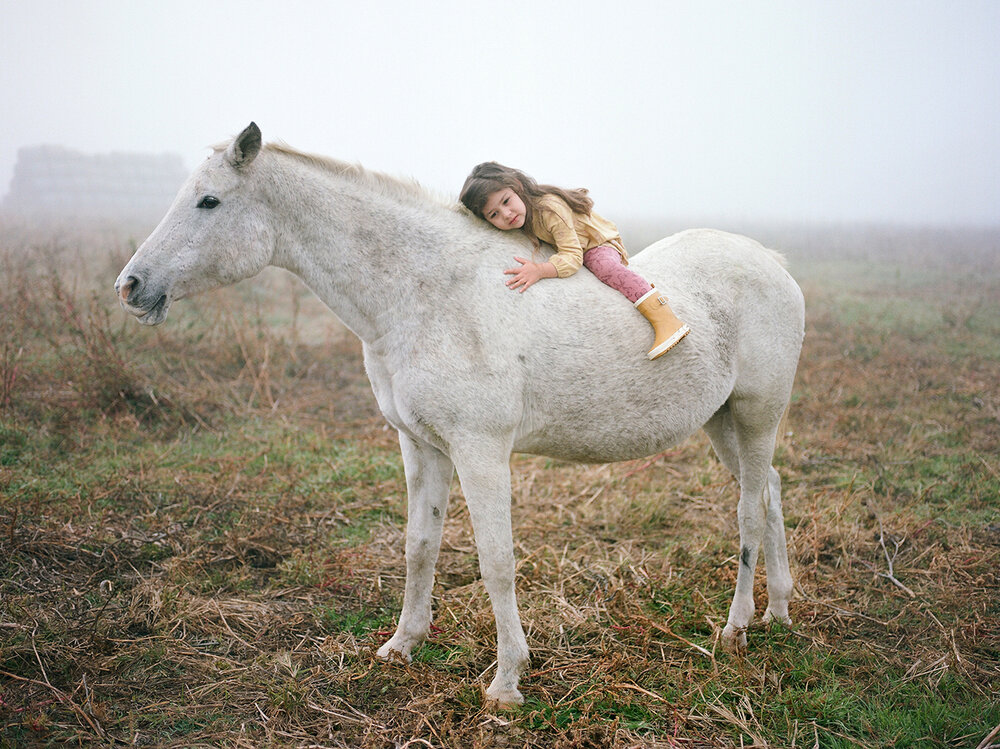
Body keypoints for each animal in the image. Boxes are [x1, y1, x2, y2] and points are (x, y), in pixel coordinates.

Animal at [115, 124, 804, 708]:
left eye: (208, 202)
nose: (131, 286)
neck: (425, 294)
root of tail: (773, 262)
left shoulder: (480, 451)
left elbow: (496, 561)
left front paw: (506, 684)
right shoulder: (421, 446)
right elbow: (419, 545)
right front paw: (402, 645)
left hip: (756, 414)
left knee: (748, 509)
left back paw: (736, 629)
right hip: (723, 422)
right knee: (768, 490)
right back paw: (778, 613)